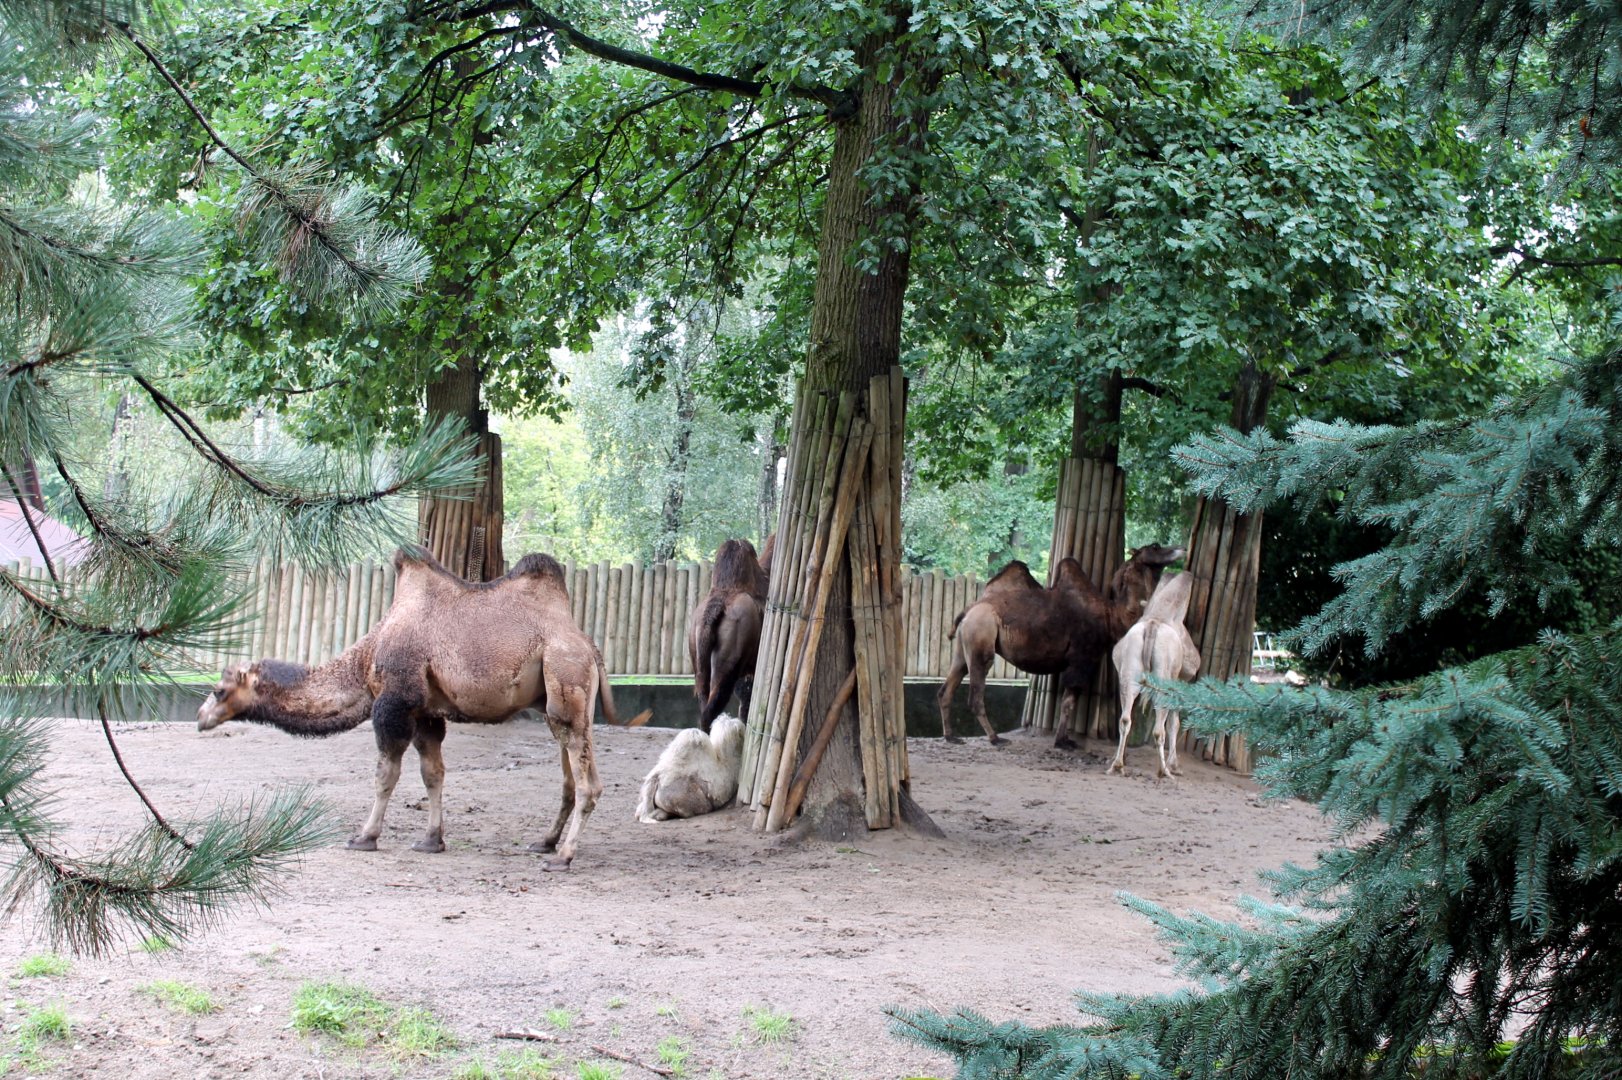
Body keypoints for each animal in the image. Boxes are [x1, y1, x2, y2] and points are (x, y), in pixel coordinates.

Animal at [197, 547, 625, 870]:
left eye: (219, 691)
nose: (200, 719)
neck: (367, 657)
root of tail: (590, 647)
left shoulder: (394, 703)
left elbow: (385, 774)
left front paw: (364, 836)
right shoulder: (426, 712)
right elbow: (432, 774)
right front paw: (432, 840)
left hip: (565, 676)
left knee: (588, 782)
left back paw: (563, 857)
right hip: (557, 702)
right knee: (568, 773)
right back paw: (545, 842)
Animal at [938, 543, 1185, 749]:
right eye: (1156, 546)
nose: (1181, 549)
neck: (1111, 616)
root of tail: (968, 610)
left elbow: (1068, 701)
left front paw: (1064, 739)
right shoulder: (1082, 658)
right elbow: (1068, 702)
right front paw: (1062, 742)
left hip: (963, 646)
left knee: (947, 687)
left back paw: (951, 736)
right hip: (981, 639)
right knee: (976, 694)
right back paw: (995, 738)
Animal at [1108, 571, 1200, 778]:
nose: (1194, 664)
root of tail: (1151, 628)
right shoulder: (1176, 685)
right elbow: (1174, 723)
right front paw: (1176, 766)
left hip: (1129, 678)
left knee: (1125, 719)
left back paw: (1117, 765)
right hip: (1163, 685)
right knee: (1159, 730)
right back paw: (1164, 771)